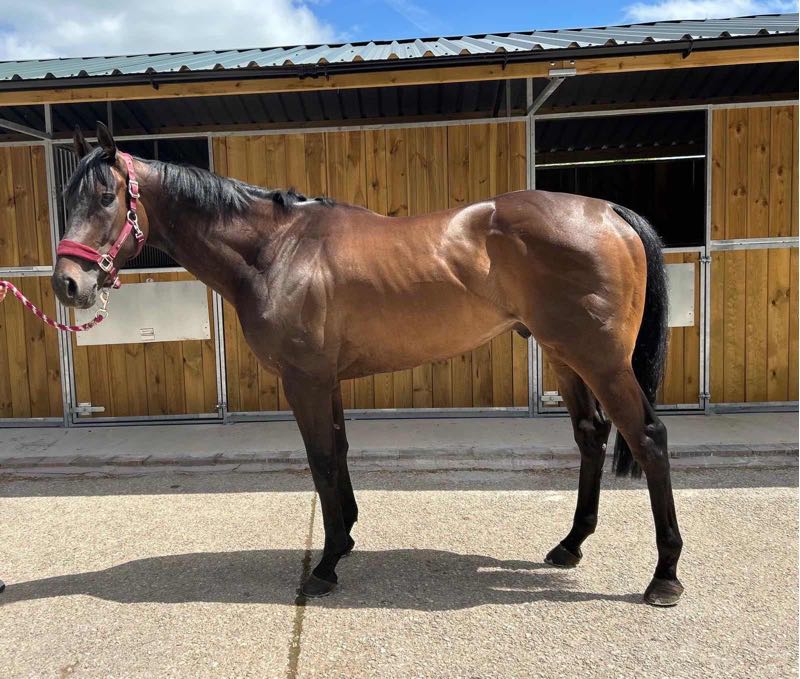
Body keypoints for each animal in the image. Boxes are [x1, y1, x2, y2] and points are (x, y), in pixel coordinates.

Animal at [50, 123, 684, 607]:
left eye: (106, 198)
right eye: (67, 201)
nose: (67, 284)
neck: (276, 250)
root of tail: (607, 211)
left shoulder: (304, 381)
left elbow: (321, 459)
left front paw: (326, 565)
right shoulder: (325, 380)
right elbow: (339, 451)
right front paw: (347, 537)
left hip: (601, 361)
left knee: (648, 437)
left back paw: (664, 577)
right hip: (563, 357)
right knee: (591, 436)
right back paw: (570, 545)